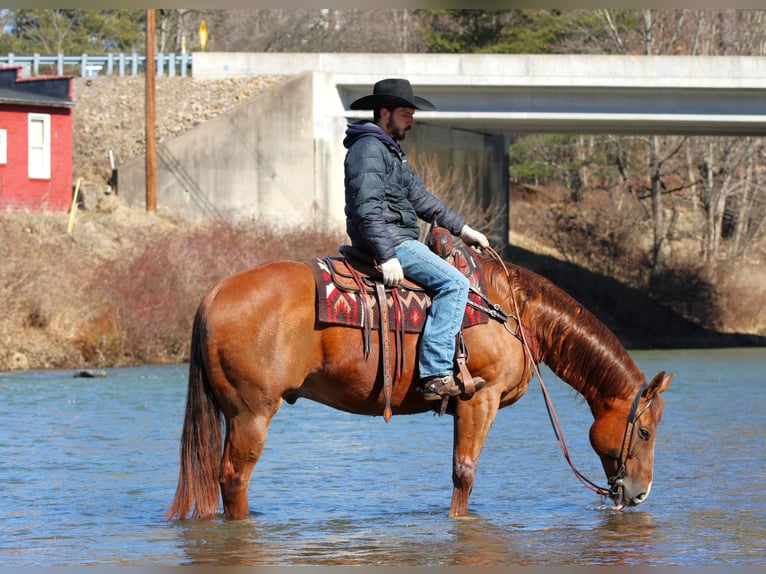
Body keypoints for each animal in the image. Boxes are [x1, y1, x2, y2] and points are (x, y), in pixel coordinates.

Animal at [166, 248, 672, 520]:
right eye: (646, 431)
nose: (641, 493)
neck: (513, 312)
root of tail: (214, 294)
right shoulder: (480, 399)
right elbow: (464, 474)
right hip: (251, 414)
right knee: (234, 478)